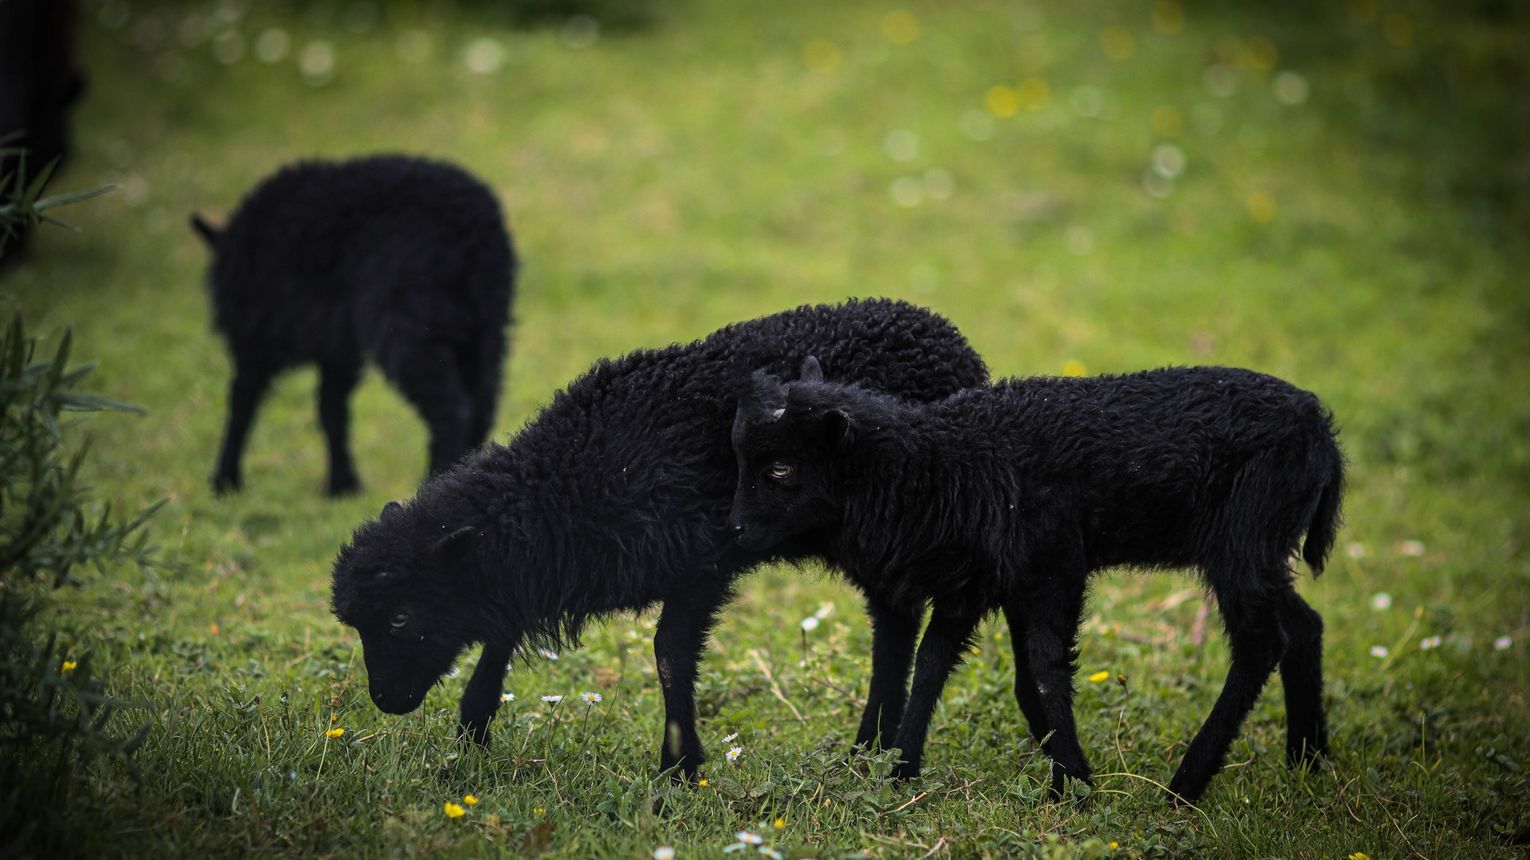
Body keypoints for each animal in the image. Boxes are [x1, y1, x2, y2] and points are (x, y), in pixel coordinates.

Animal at [188, 152, 514, 495]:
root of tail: (477, 235)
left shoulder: (258, 336)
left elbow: (242, 399)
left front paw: (225, 479)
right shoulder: (337, 346)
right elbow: (331, 408)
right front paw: (342, 484)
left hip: (408, 323)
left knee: (451, 408)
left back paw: (436, 478)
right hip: (486, 326)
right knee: (482, 402)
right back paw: (465, 467)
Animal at [328, 298, 985, 774]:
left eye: (400, 619)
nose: (385, 701)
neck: (566, 481)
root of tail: (953, 342)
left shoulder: (700, 562)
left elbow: (669, 654)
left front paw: (680, 768)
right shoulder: (537, 566)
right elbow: (500, 633)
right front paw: (471, 734)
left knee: (896, 627)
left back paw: (877, 747)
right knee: (894, 624)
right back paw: (869, 748)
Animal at [728, 356, 1340, 801]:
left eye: (780, 468)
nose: (731, 530)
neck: (943, 466)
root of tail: (1322, 429)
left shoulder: (1051, 569)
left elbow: (1039, 673)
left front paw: (1071, 784)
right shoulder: (982, 584)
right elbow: (933, 668)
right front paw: (887, 766)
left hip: (1244, 538)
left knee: (1261, 642)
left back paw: (1186, 786)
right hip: (1260, 550)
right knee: (1304, 625)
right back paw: (1308, 761)